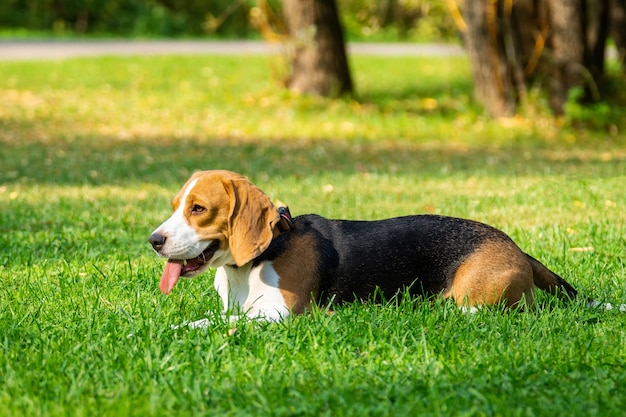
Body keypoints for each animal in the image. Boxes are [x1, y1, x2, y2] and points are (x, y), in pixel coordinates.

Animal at [149, 169, 576, 322]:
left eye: (198, 209)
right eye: (174, 206)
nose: (154, 241)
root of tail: (516, 248)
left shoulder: (283, 315)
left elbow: (226, 323)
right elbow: (216, 317)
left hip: (475, 298)